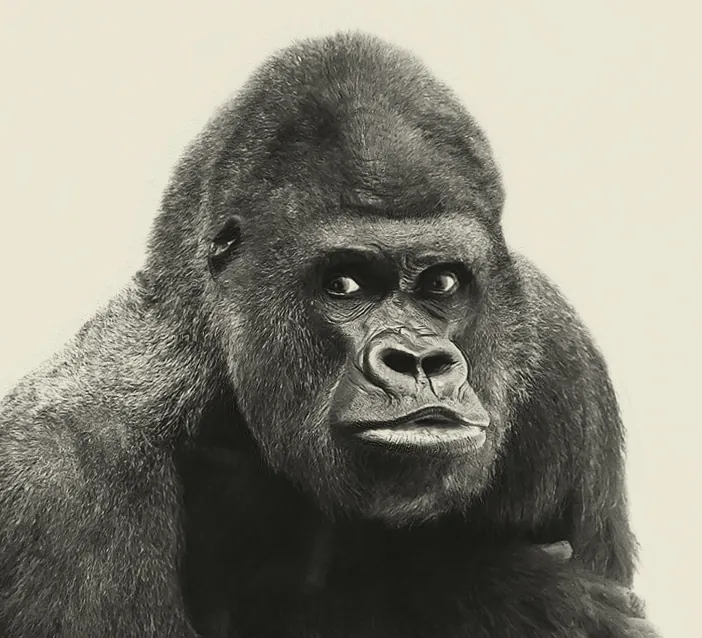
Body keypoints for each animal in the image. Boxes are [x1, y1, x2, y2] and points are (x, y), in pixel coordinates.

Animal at [0, 31, 659, 637]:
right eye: (344, 284)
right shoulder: (63, 483)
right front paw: (491, 591)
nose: (418, 361)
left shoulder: (563, 364)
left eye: (442, 283)